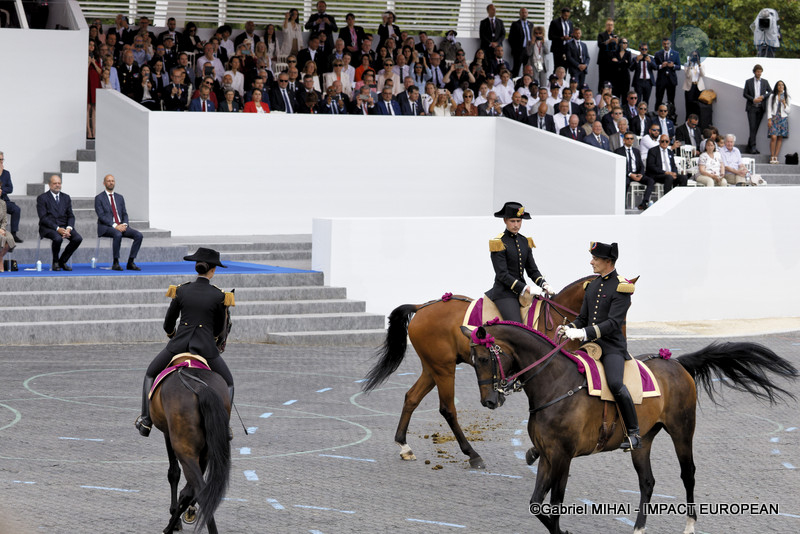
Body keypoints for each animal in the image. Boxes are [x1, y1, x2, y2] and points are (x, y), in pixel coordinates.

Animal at [147, 296, 234, 532]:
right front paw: (186, 513)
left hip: (184, 447)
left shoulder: (168, 435)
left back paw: (170, 526)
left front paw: (176, 516)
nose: (222, 344)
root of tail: (200, 387)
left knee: (198, 488)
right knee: (198, 488)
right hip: (206, 449)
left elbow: (173, 474)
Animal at [362, 278, 612, 472]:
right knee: (447, 409)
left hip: (432, 367)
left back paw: (404, 445)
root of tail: (422, 306)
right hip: (443, 369)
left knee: (411, 397)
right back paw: (472, 454)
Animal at [462, 322, 792, 534]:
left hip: (682, 431)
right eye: (471, 360)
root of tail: (675, 362)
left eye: (484, 358)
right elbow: (536, 504)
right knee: (647, 482)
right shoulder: (547, 454)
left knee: (688, 474)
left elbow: (555, 502)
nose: (490, 401)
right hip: (643, 440)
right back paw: (639, 529)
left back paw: (689, 526)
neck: (555, 384)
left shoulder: (563, 456)